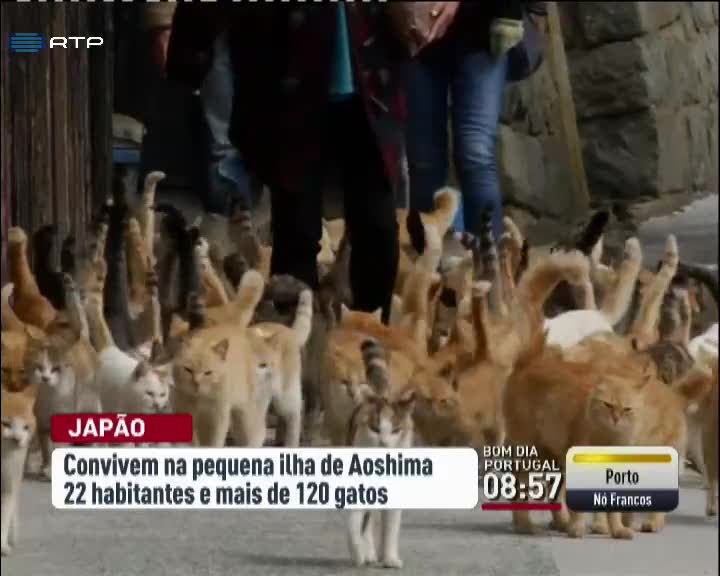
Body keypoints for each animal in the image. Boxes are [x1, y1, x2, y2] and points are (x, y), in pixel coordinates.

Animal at [345, 338, 415, 569]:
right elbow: (355, 523)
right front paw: (358, 553)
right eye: (375, 429)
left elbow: (391, 526)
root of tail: (380, 394)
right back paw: (367, 552)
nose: (384, 443)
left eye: (395, 430)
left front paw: (390, 558)